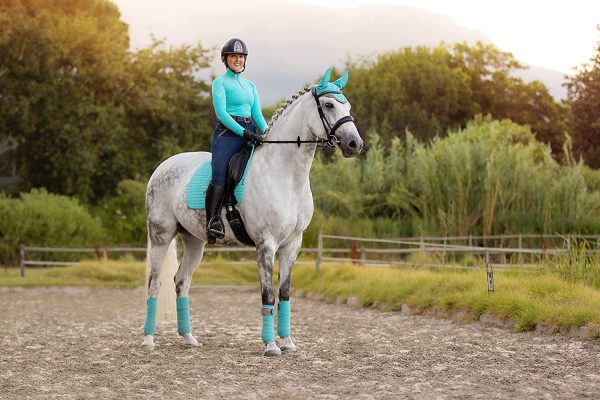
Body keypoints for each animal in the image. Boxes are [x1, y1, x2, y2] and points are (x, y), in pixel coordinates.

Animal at [143, 68, 364, 356]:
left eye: (347, 106)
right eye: (328, 105)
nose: (354, 144)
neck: (286, 175)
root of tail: (163, 166)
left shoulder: (293, 244)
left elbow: (284, 293)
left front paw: (288, 342)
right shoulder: (266, 244)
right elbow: (267, 293)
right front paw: (271, 346)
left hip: (194, 241)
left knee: (181, 281)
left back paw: (189, 338)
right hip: (161, 235)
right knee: (155, 282)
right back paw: (148, 340)